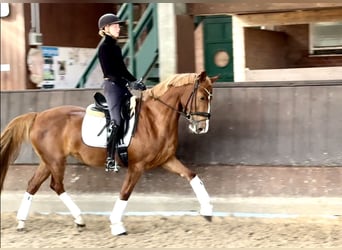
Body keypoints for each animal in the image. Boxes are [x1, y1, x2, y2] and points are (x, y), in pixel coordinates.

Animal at [0, 71, 218, 235]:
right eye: (201, 97)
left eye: (210, 98)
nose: (201, 128)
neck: (154, 119)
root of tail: (37, 116)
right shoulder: (137, 166)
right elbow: (125, 193)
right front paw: (116, 225)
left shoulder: (166, 159)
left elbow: (192, 176)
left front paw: (207, 210)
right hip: (55, 161)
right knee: (56, 185)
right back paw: (78, 218)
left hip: (48, 161)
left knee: (33, 185)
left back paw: (23, 222)